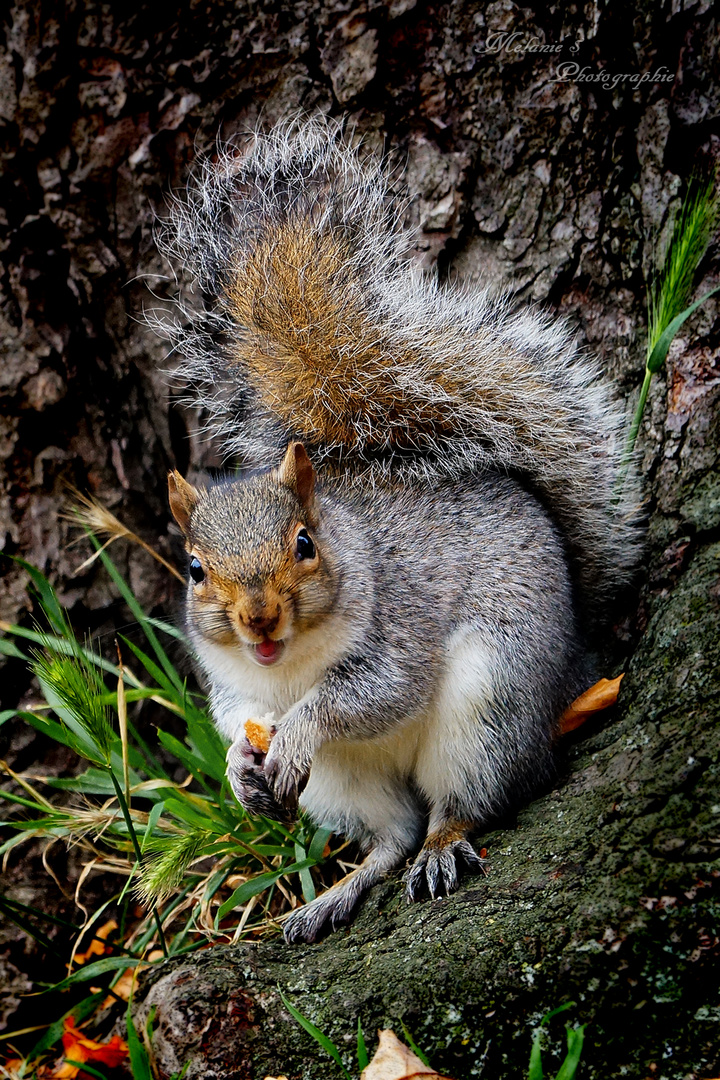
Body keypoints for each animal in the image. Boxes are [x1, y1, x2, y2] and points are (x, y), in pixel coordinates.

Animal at [158, 116, 643, 946]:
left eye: (304, 545)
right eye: (194, 570)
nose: (259, 618)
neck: (286, 669)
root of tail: (576, 655)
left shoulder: (401, 628)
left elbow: (370, 695)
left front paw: (302, 725)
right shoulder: (235, 691)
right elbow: (238, 729)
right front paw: (238, 769)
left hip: (491, 703)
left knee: (463, 804)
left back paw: (444, 845)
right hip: (345, 781)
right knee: (391, 835)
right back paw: (334, 894)